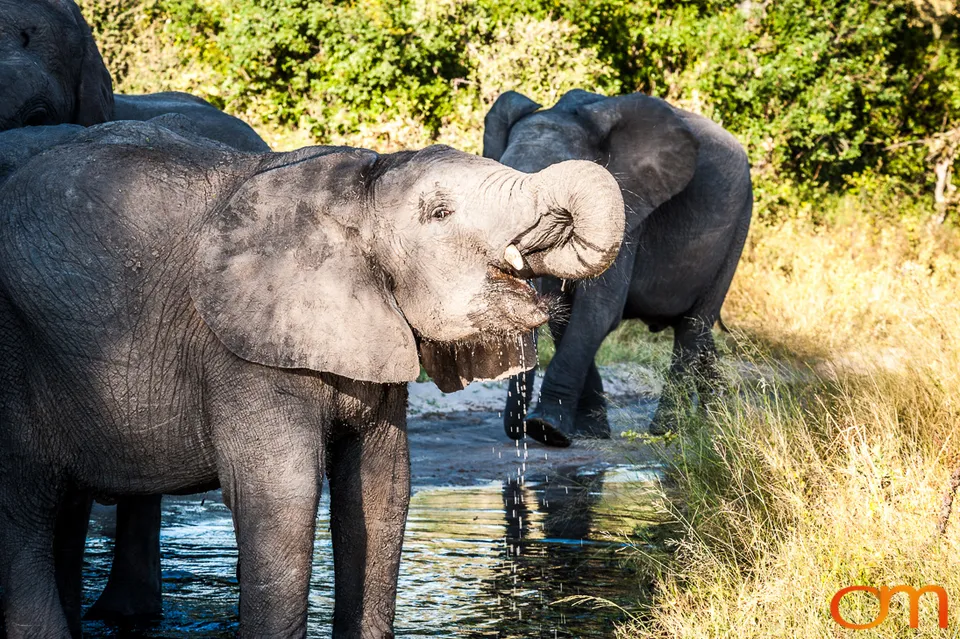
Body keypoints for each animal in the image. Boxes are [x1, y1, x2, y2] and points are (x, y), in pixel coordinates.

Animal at [0, 119, 624, 638]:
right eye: (440, 214)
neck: (353, 191)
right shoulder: (245, 353)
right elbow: (284, 494)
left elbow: (382, 486)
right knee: (23, 512)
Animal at [485, 89, 753, 446]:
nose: (518, 433)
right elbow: (563, 313)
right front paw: (590, 432)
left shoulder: (624, 214)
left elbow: (597, 312)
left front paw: (548, 431)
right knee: (700, 333)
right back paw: (719, 421)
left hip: (738, 227)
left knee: (692, 328)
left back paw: (670, 430)